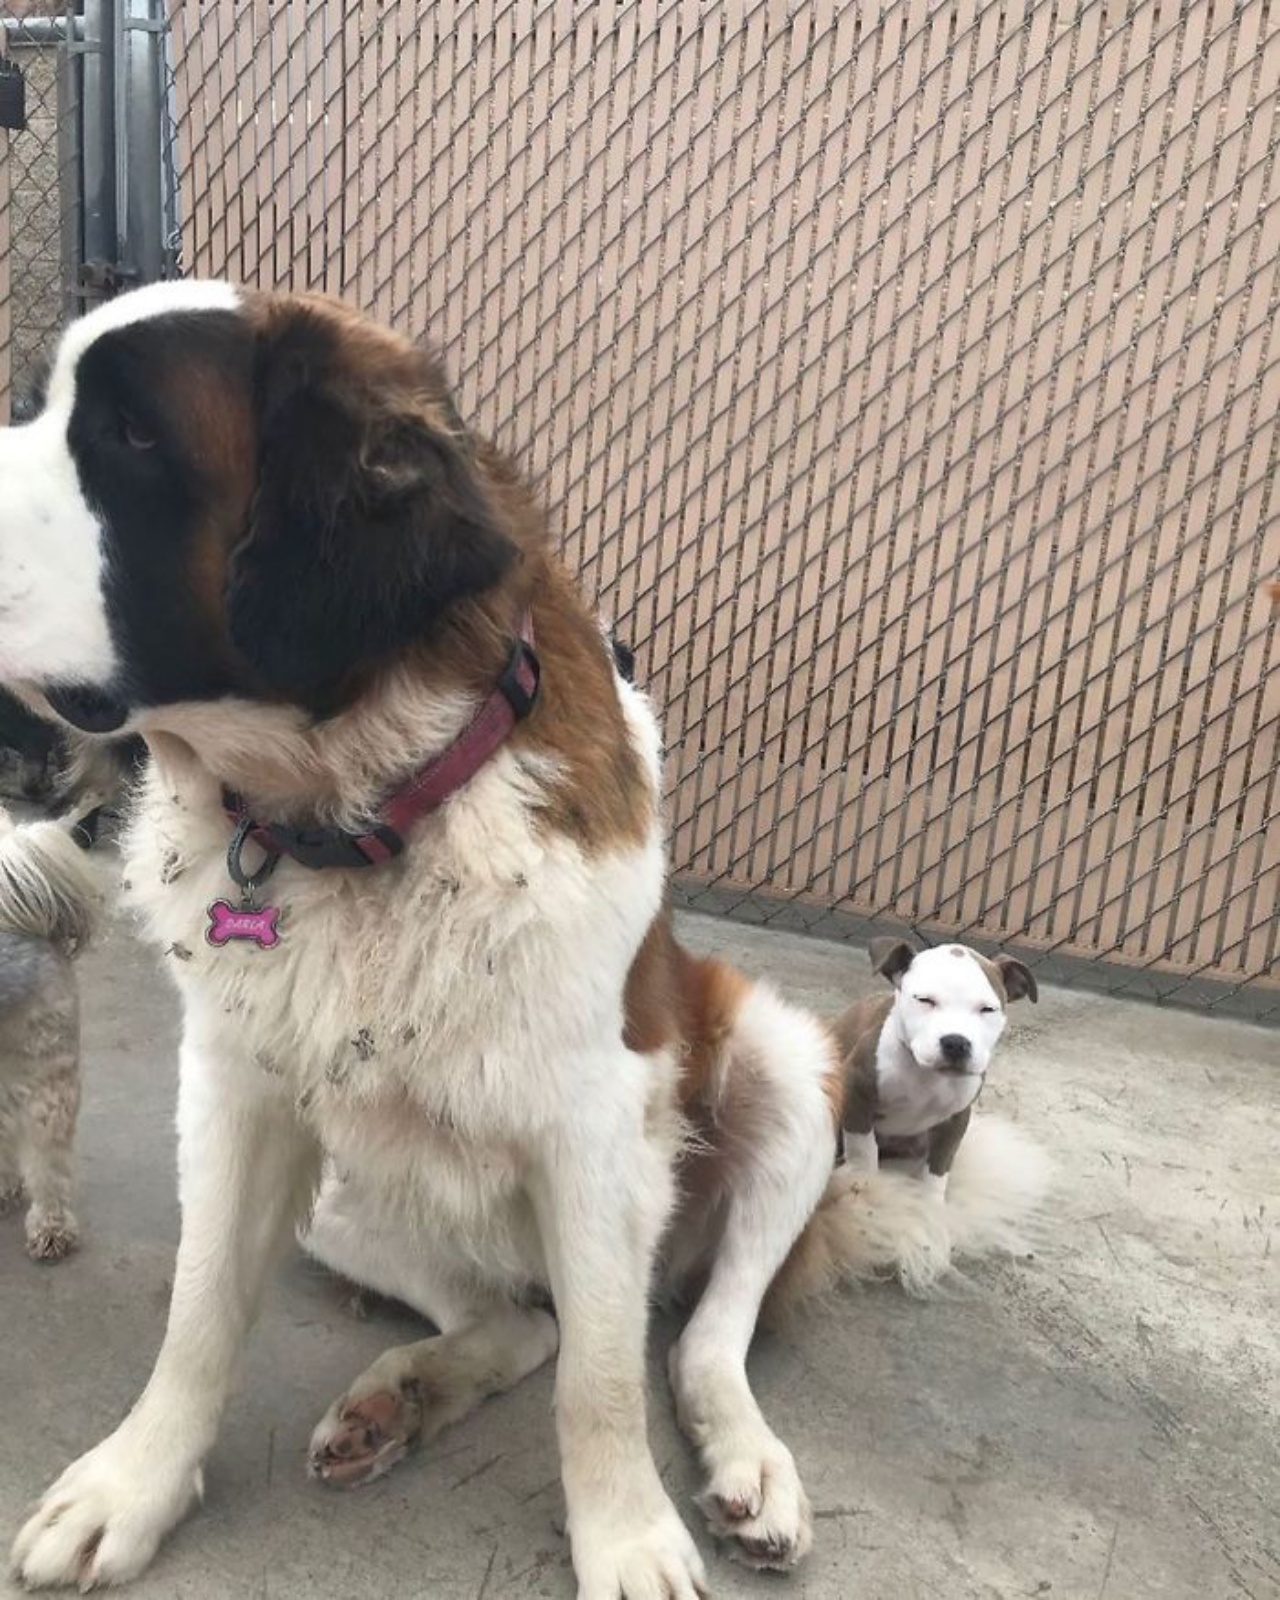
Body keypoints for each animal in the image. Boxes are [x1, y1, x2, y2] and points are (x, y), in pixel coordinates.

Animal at [0, 281, 870, 1593]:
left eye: (131, 438)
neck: (358, 814)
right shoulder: (234, 1095)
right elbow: (199, 1312)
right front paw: (132, 1484)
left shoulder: (598, 1128)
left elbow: (602, 1384)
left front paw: (625, 1534)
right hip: (344, 1191)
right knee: (519, 1319)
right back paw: (399, 1396)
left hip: (776, 1066)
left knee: (692, 1333)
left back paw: (746, 1466)